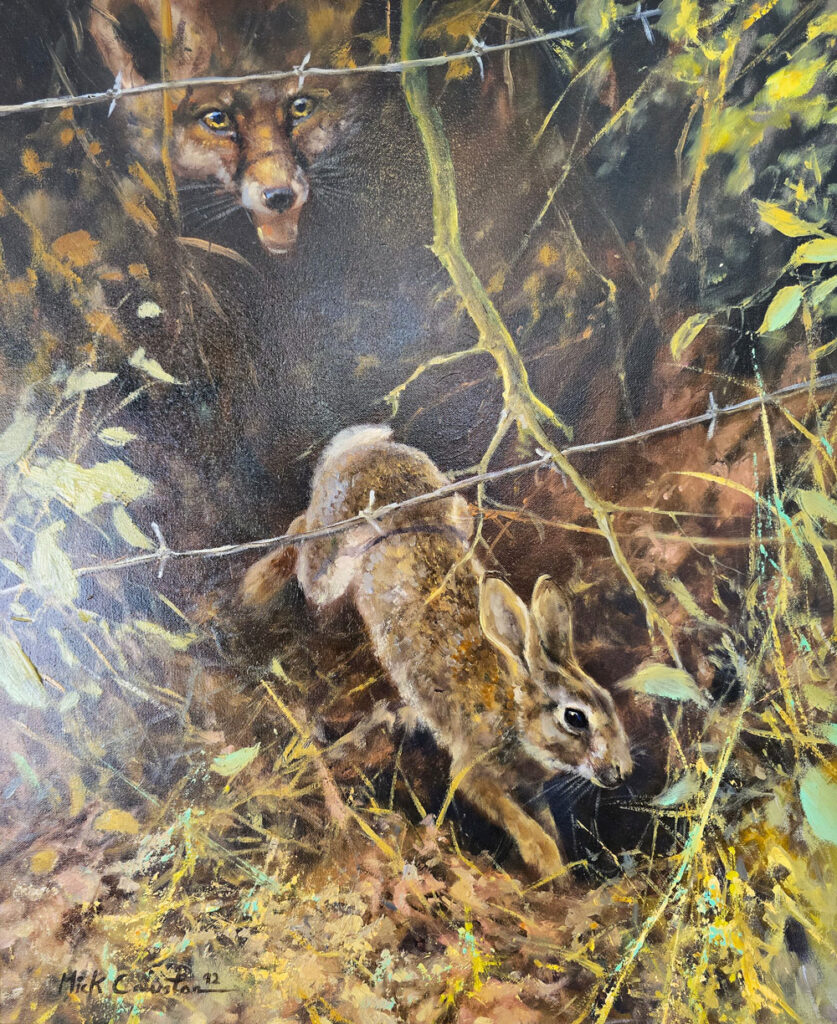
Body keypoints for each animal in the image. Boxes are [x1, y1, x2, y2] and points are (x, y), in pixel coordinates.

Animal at [241, 425, 633, 878]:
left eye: (608, 703)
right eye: (574, 718)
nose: (622, 771)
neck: (513, 707)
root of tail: (365, 449)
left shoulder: (530, 786)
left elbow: (544, 817)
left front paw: (560, 868)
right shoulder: (472, 769)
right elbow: (518, 820)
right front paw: (547, 862)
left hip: (455, 509)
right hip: (330, 563)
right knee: (302, 532)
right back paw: (256, 585)